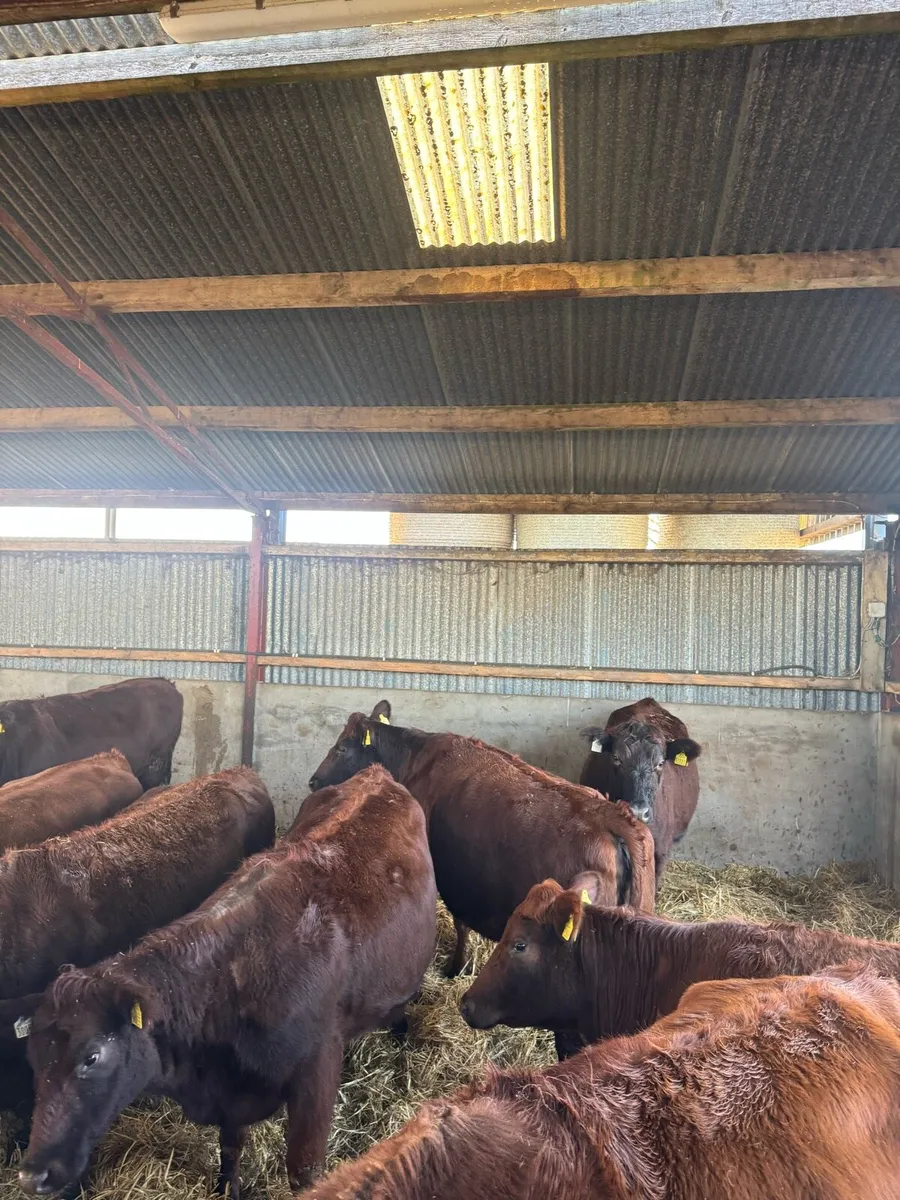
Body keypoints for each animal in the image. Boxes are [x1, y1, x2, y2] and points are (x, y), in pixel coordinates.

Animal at [309, 701, 654, 1005]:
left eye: (341, 747)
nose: (313, 781)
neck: (415, 760)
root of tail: (613, 816)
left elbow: (461, 925)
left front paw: (456, 967)